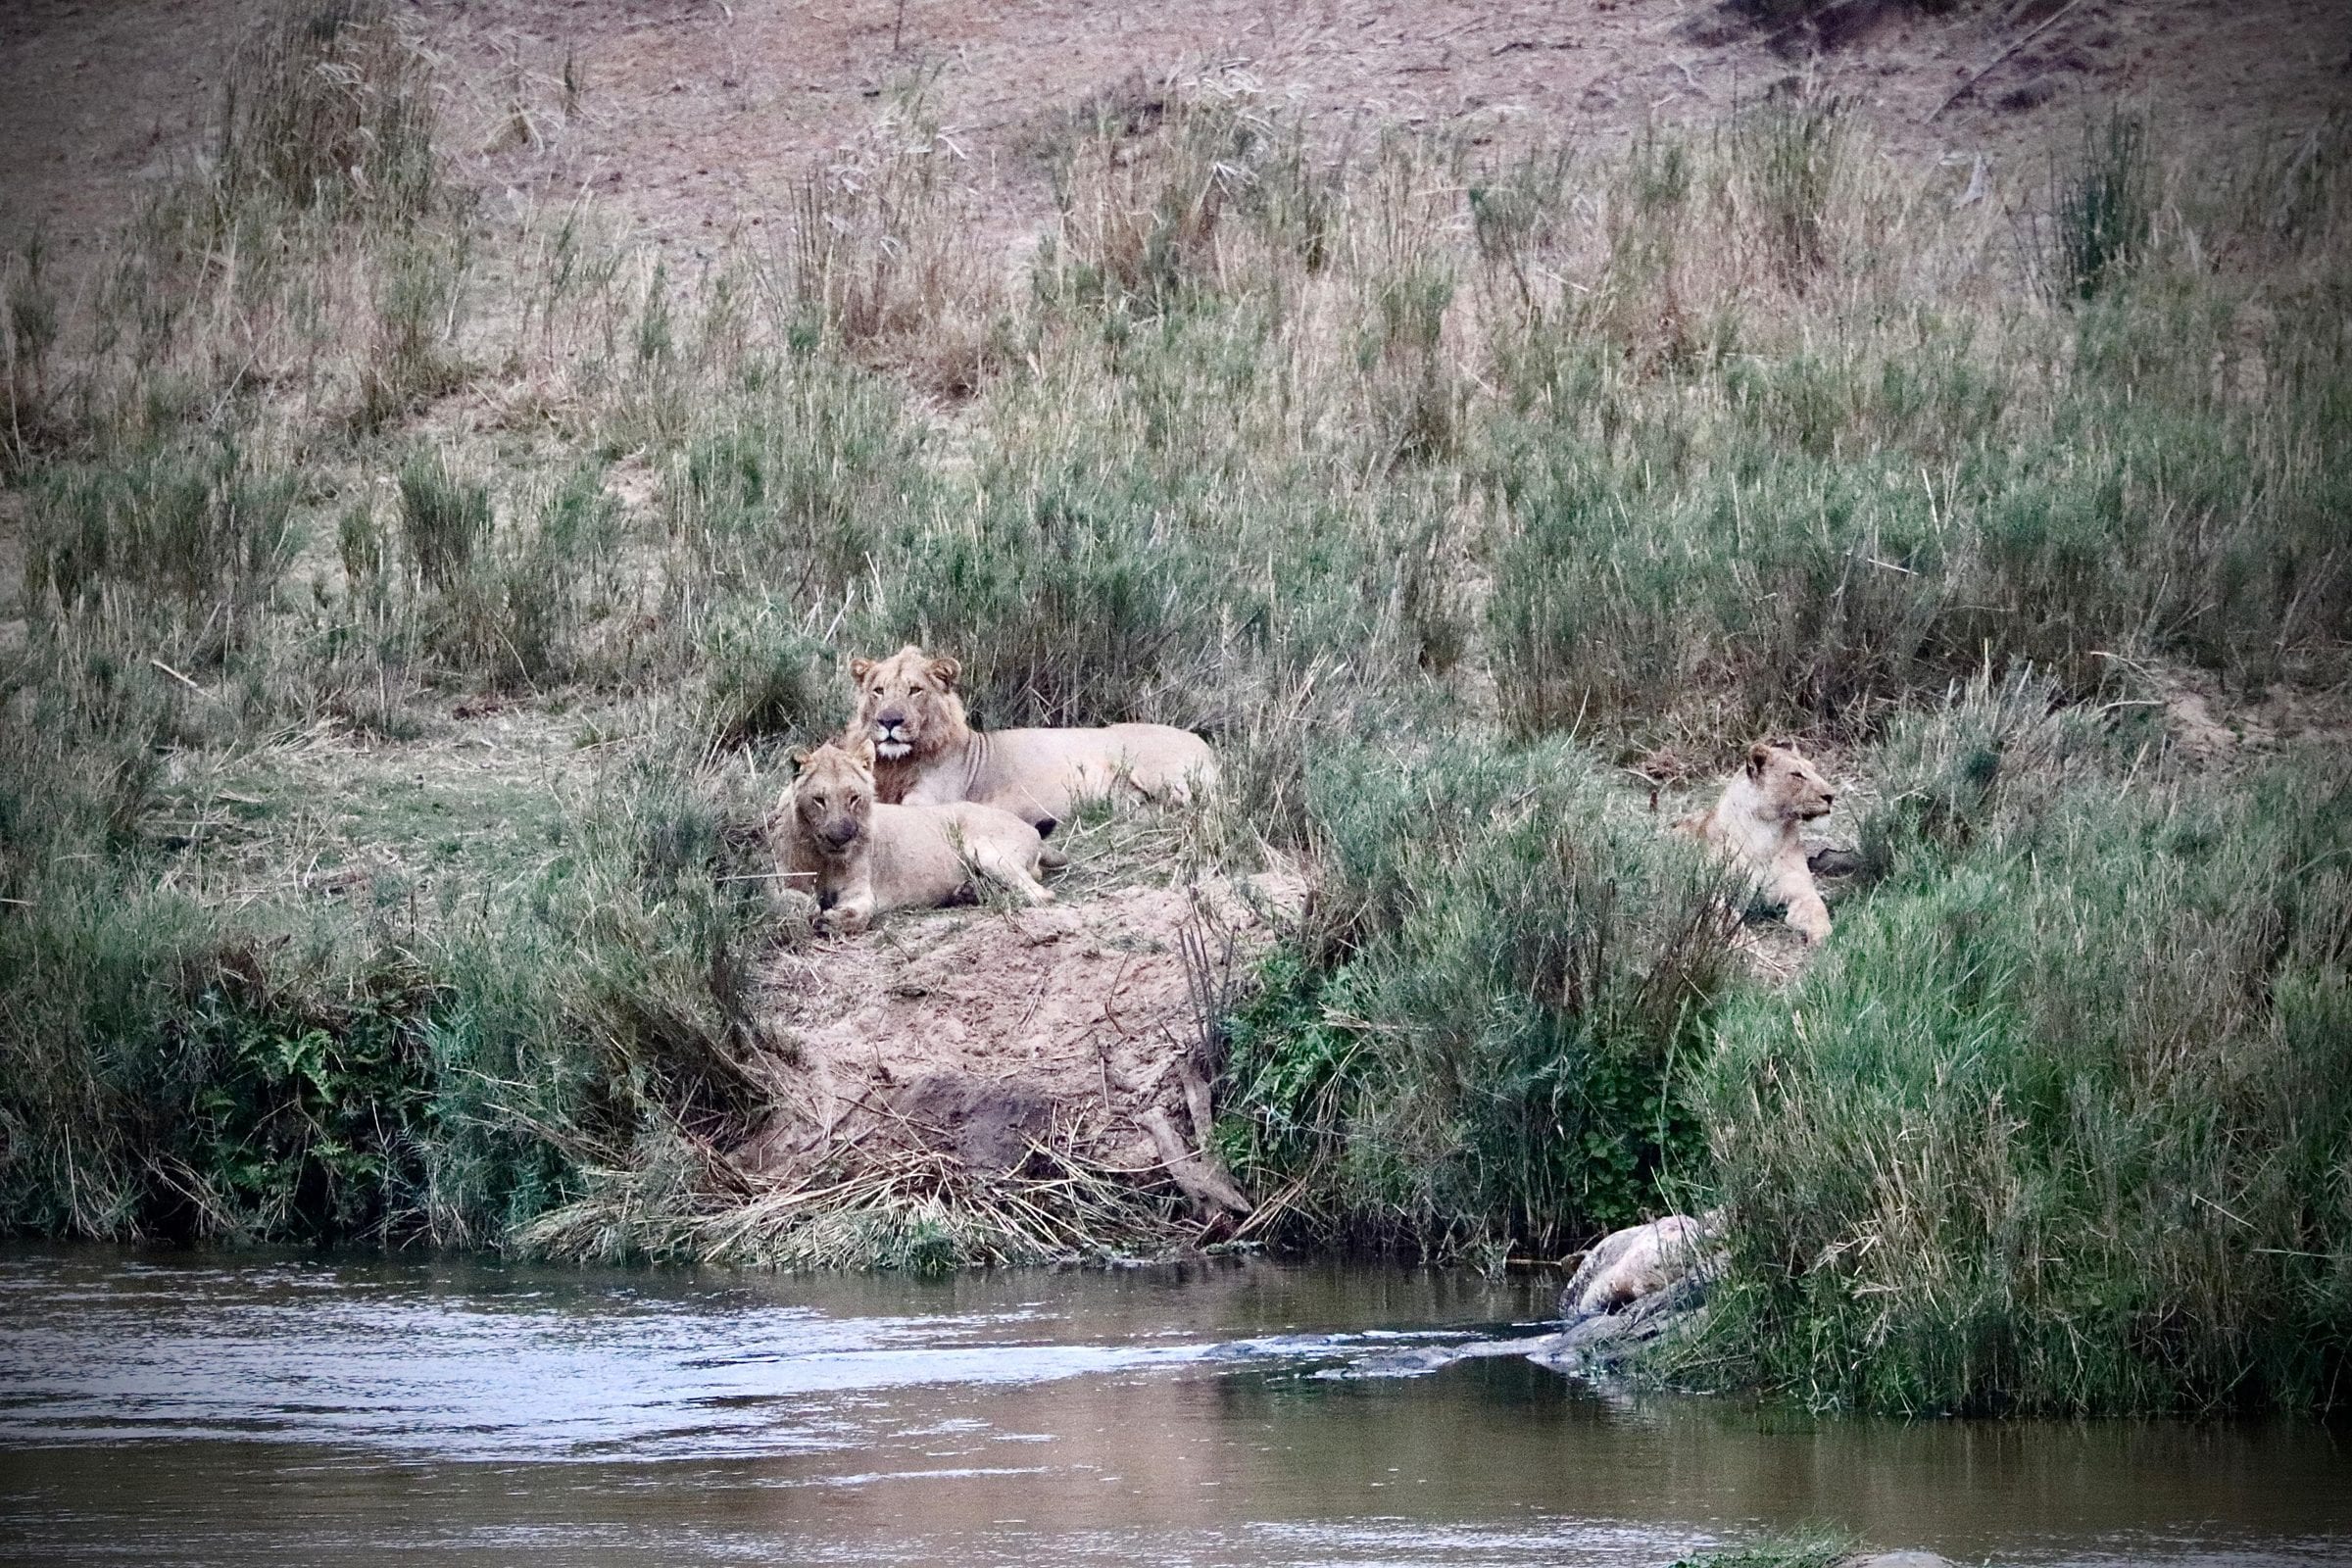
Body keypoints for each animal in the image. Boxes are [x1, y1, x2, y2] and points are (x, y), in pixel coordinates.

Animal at [773, 737, 1064, 935]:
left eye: (853, 798)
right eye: (819, 800)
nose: (839, 838)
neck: (824, 857)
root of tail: (1030, 829)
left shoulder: (860, 891)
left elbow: (861, 913)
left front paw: (830, 920)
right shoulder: (781, 881)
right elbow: (791, 899)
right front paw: (814, 909)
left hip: (988, 852)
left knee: (1041, 894)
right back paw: (968, 892)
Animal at [847, 645, 1217, 835]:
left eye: (915, 690)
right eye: (879, 691)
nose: (889, 721)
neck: (900, 762)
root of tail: (1203, 743)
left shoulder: (933, 802)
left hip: (1158, 771)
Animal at [1677, 741, 1836, 944]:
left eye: (1814, 770)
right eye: (1796, 775)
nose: (1831, 796)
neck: (1767, 833)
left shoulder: (1803, 893)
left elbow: (1818, 912)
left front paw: (1822, 937)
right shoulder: (1712, 895)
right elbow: (1729, 922)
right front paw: (1749, 944)